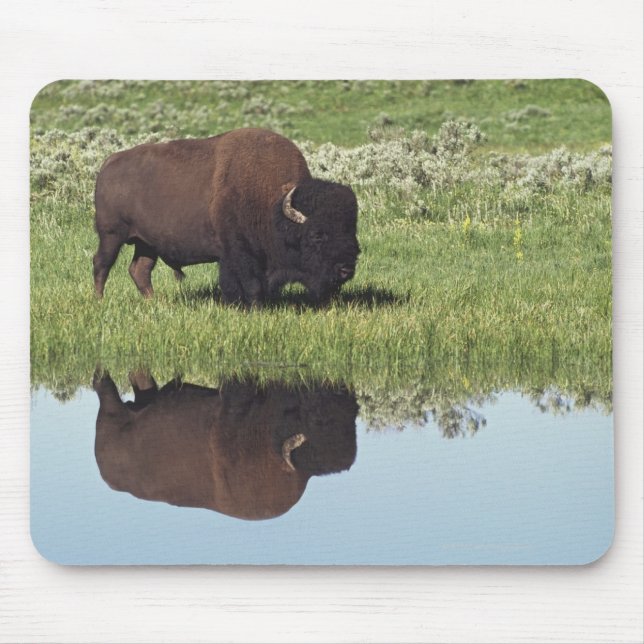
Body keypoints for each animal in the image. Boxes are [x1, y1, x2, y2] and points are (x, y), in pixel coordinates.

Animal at [93, 128, 360, 305]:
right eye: (317, 235)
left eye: (351, 229)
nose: (346, 269)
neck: (272, 203)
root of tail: (108, 163)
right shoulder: (237, 253)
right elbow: (249, 285)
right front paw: (251, 307)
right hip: (111, 236)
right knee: (101, 264)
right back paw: (99, 301)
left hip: (146, 244)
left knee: (140, 270)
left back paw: (154, 302)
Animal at [93, 372, 358, 520]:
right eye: (317, 418)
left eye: (352, 415)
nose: (344, 391)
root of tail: (106, 474)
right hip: (111, 408)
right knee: (102, 385)